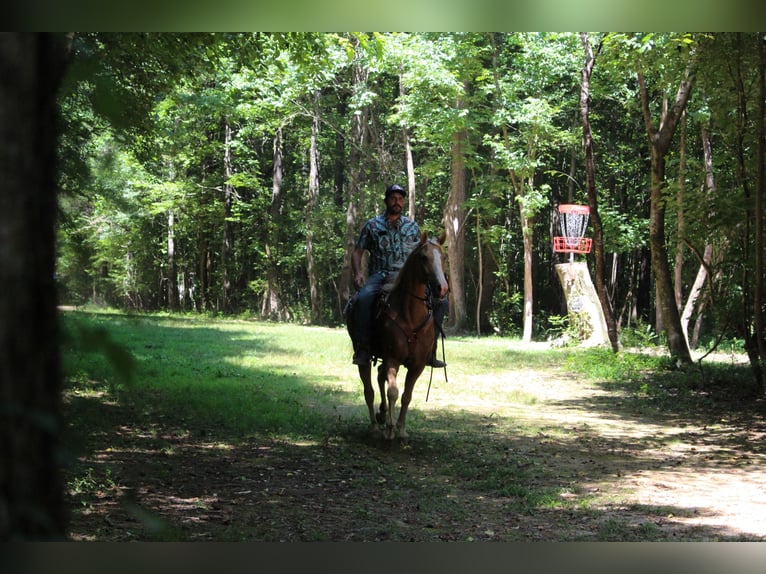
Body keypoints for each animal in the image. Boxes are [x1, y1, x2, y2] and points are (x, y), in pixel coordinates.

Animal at [346, 231, 449, 440]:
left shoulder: (417, 365)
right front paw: (390, 428)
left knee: (379, 375)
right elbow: (393, 391)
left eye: (443, 257)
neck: (410, 316)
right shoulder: (393, 358)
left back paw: (382, 413)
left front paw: (401, 428)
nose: (441, 288)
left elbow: (406, 395)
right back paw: (374, 425)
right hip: (364, 356)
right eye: (423, 257)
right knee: (369, 389)